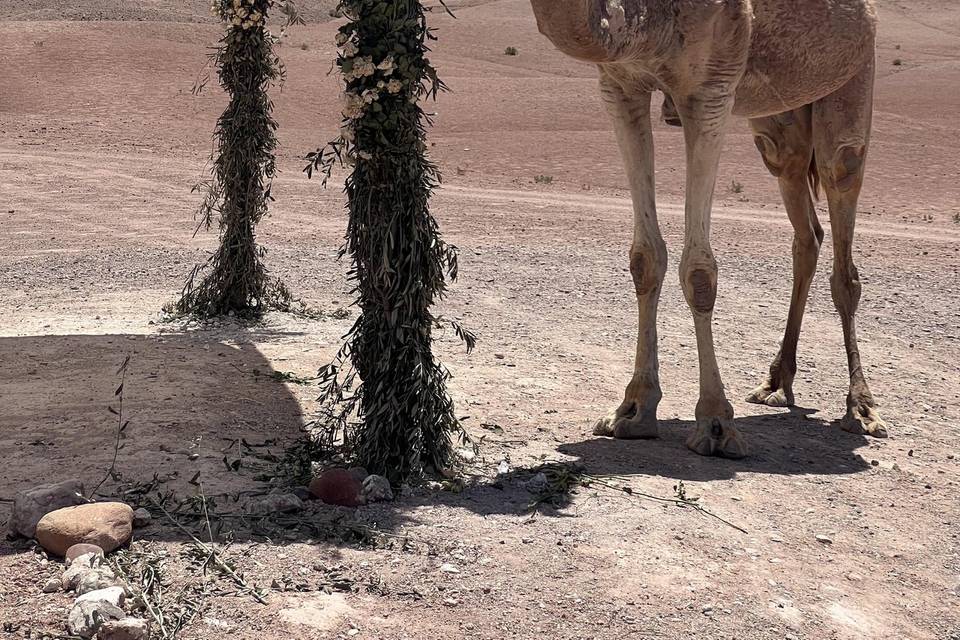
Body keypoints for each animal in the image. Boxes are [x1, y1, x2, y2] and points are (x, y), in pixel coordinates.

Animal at [528, 1, 888, 460]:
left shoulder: (710, 91)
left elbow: (699, 271)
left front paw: (716, 424)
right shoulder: (619, 85)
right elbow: (646, 257)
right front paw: (633, 411)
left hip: (853, 77)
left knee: (842, 194)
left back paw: (861, 408)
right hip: (778, 121)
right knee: (804, 226)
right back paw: (775, 383)